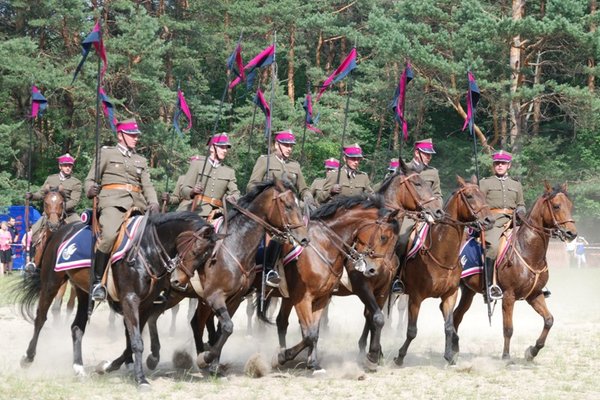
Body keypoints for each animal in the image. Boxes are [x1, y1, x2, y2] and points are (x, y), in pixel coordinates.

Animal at [15, 211, 218, 386]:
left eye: (207, 257)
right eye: (196, 251)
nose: (179, 281)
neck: (146, 249)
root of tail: (62, 230)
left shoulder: (145, 304)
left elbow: (132, 341)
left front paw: (107, 367)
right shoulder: (130, 299)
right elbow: (136, 341)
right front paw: (141, 379)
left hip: (83, 292)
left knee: (77, 327)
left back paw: (79, 367)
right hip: (51, 283)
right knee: (40, 318)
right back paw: (27, 357)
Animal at [392, 177, 494, 368]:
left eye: (484, 195)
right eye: (469, 196)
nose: (489, 220)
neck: (442, 253)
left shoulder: (450, 295)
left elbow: (448, 325)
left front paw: (449, 355)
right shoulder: (415, 297)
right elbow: (412, 330)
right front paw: (400, 356)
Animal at [454, 183, 576, 360]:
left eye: (570, 205)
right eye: (556, 206)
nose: (571, 233)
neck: (527, 249)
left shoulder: (535, 295)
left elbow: (549, 320)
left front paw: (532, 351)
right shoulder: (508, 296)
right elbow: (508, 328)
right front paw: (506, 356)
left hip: (468, 292)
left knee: (456, 316)